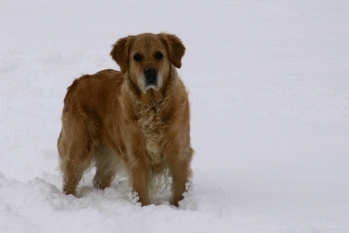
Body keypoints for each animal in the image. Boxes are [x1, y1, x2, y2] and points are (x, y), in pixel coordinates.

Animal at [57, 32, 193, 206]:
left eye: (159, 55)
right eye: (137, 57)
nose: (150, 71)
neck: (152, 106)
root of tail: (78, 81)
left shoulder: (178, 152)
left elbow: (180, 189)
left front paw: (179, 207)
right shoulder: (136, 156)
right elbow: (141, 192)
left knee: (99, 179)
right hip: (78, 147)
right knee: (70, 179)